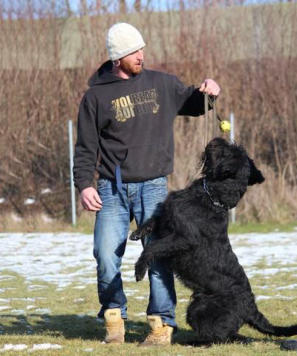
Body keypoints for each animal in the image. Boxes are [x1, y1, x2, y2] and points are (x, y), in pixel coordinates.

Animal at [131, 138, 296, 344]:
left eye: (230, 151)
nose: (218, 139)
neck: (212, 197)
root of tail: (251, 308)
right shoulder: (166, 219)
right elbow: (152, 220)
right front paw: (136, 233)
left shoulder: (181, 239)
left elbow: (153, 247)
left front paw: (139, 269)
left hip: (200, 310)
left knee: (223, 336)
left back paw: (194, 342)